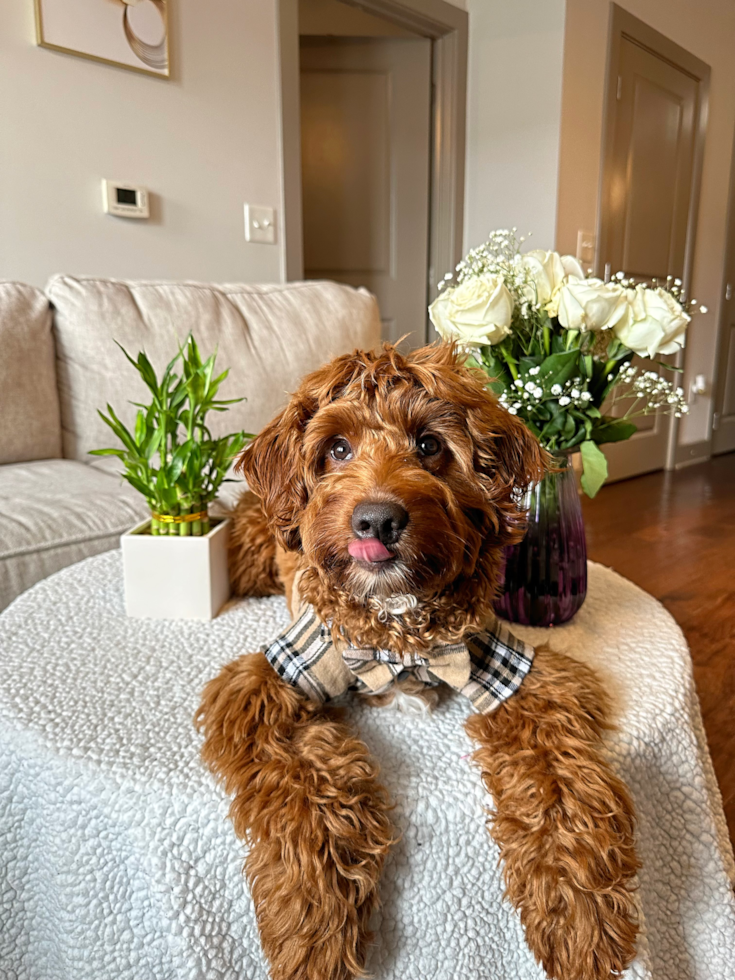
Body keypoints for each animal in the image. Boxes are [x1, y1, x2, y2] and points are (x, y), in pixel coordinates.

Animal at [196, 342, 640, 980]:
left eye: (429, 444)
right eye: (337, 449)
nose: (377, 520)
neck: (397, 623)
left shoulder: (515, 670)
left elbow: (561, 782)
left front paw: (582, 915)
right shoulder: (273, 678)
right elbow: (302, 791)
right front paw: (313, 925)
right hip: (257, 550)